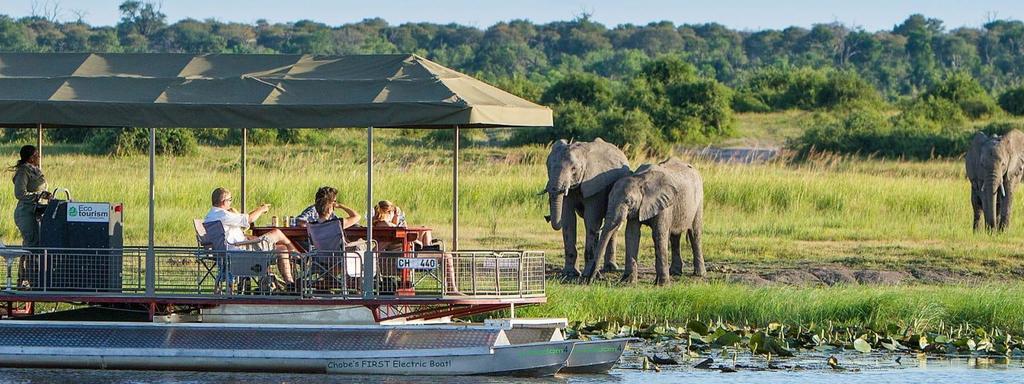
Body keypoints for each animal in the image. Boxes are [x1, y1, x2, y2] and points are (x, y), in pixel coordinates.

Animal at [544, 138, 630, 280]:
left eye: (573, 169)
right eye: (547, 167)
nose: (547, 217)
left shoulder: (595, 186)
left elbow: (591, 220)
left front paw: (586, 275)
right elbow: (568, 220)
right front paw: (569, 274)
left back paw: (611, 268)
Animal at [585, 156, 704, 286]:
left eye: (628, 202)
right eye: (608, 199)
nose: (589, 281)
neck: (640, 180)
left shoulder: (664, 204)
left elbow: (659, 234)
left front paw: (662, 285)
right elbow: (632, 234)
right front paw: (627, 282)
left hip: (699, 200)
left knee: (694, 233)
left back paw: (699, 274)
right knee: (674, 236)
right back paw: (675, 272)